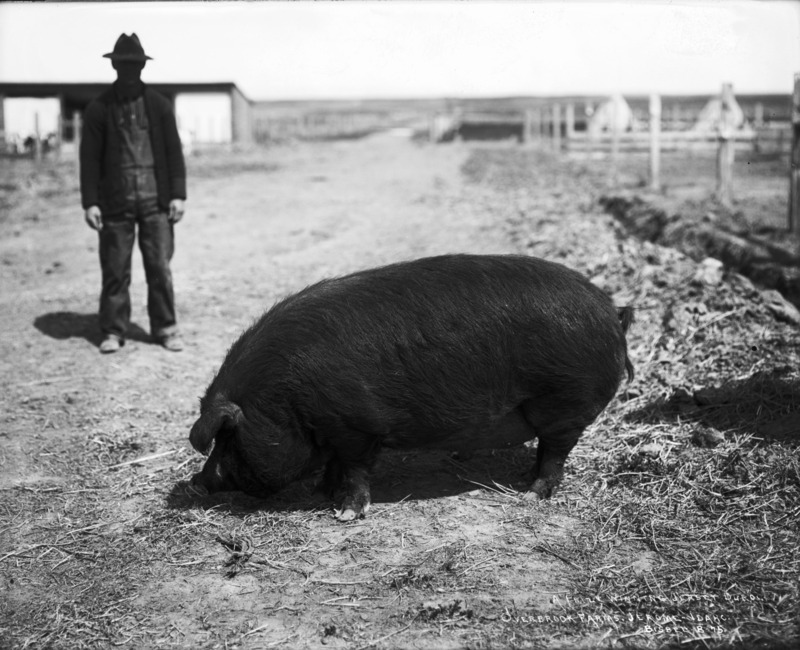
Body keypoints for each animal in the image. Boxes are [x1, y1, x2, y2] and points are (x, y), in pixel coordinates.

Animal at [189, 253, 634, 521]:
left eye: (227, 436)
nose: (198, 482)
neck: (286, 401)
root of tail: (611, 309)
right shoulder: (335, 431)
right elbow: (336, 466)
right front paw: (322, 492)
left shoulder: (356, 427)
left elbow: (355, 469)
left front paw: (346, 513)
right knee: (546, 449)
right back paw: (524, 478)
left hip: (564, 402)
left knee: (556, 451)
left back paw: (532, 494)